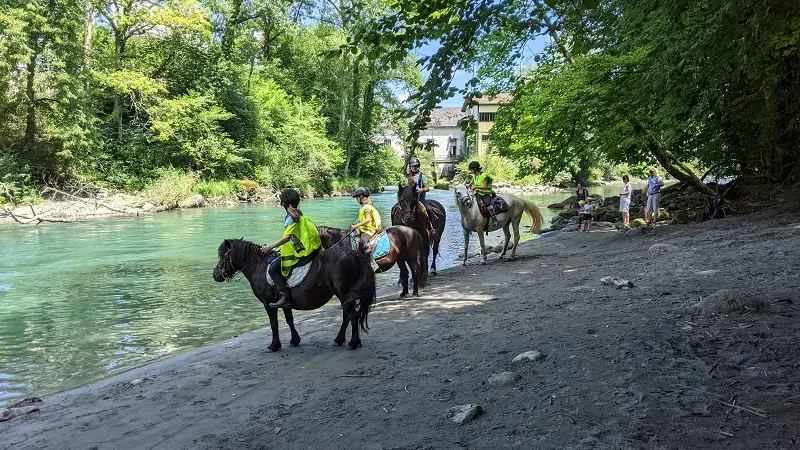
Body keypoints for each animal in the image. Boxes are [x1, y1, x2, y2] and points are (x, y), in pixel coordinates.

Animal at [212, 239, 376, 352]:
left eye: (222, 256)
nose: (215, 275)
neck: (258, 266)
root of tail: (353, 254)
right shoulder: (285, 302)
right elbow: (289, 320)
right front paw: (294, 340)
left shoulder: (268, 303)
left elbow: (274, 324)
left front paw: (274, 345)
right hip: (346, 296)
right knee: (348, 316)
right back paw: (340, 339)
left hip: (344, 294)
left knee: (353, 316)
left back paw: (353, 343)